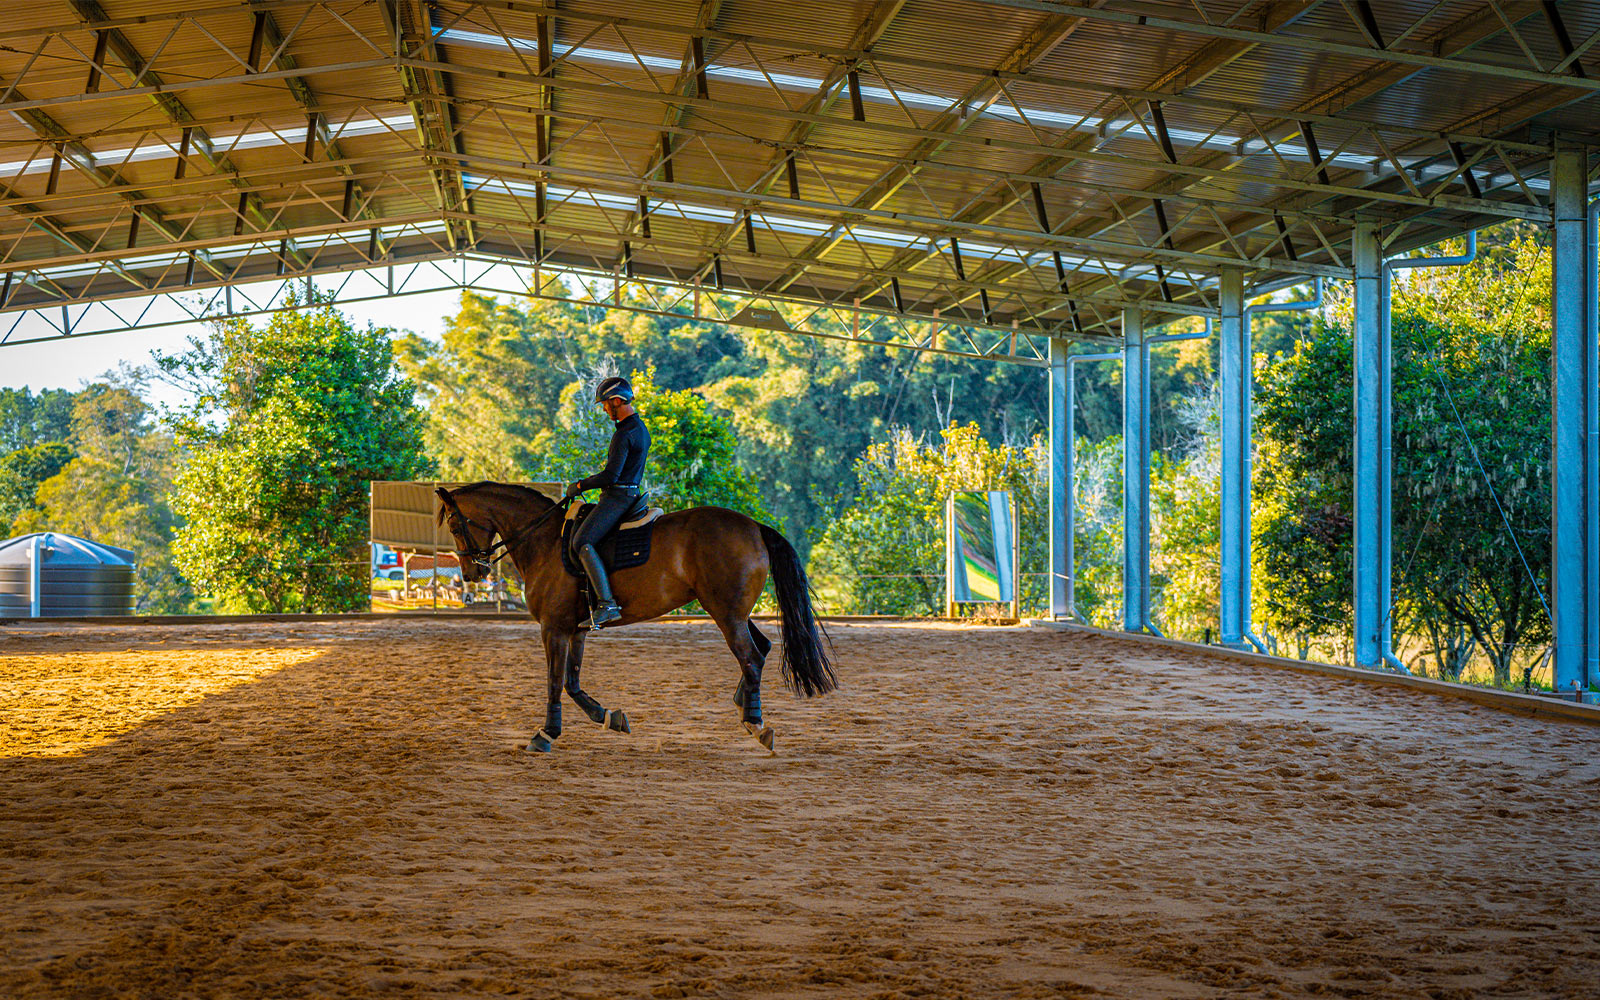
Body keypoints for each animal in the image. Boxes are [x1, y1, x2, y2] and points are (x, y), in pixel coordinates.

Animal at [435, 480, 838, 752]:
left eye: (455, 526)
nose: (472, 574)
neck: (545, 541)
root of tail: (754, 526)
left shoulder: (553, 628)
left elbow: (554, 681)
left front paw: (545, 734)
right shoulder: (576, 629)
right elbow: (572, 682)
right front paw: (609, 717)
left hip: (726, 613)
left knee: (751, 657)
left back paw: (756, 724)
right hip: (731, 610)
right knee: (763, 648)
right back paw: (743, 703)